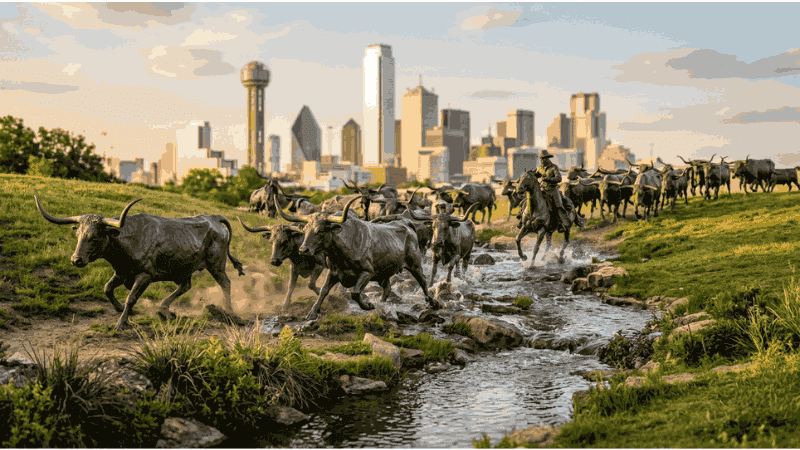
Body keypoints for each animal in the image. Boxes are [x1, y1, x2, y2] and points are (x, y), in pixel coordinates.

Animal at [34, 196, 246, 331]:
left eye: (94, 237)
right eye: (78, 234)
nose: (76, 259)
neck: (128, 239)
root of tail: (213, 217)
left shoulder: (144, 276)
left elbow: (131, 298)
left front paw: (121, 323)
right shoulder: (121, 272)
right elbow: (107, 288)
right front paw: (119, 309)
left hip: (216, 264)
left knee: (225, 283)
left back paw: (231, 314)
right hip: (183, 269)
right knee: (185, 286)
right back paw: (164, 310)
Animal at [274, 196, 438, 321]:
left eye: (320, 230)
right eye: (306, 229)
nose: (303, 249)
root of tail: (406, 223)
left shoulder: (367, 273)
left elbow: (355, 293)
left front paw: (368, 305)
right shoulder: (334, 273)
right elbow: (323, 291)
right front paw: (312, 312)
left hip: (415, 264)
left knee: (423, 282)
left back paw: (433, 302)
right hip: (384, 272)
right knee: (387, 289)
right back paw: (382, 304)